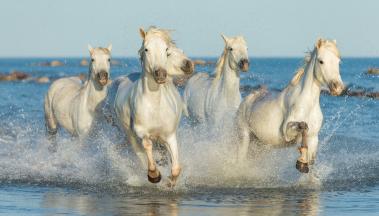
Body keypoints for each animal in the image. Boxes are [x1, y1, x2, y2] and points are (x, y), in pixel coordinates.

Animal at [114, 26, 194, 186]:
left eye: (166, 50)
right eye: (146, 49)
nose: (160, 74)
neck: (155, 106)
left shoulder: (170, 136)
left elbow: (176, 167)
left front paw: (170, 182)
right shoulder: (141, 133)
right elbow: (147, 147)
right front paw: (154, 175)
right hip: (129, 135)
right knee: (140, 153)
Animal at [236, 38, 346, 173]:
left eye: (338, 62)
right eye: (321, 61)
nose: (338, 88)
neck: (308, 104)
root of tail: (245, 101)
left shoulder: (314, 138)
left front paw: (304, 163)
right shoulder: (287, 132)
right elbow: (303, 126)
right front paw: (301, 162)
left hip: (258, 143)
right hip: (244, 137)